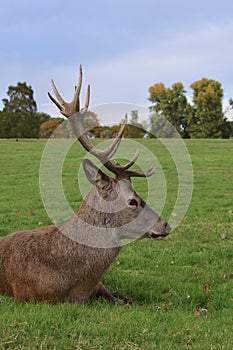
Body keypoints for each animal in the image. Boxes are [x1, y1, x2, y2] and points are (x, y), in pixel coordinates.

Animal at [0, 65, 171, 304]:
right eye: (132, 201)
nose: (165, 225)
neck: (78, 286)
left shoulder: (101, 288)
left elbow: (126, 300)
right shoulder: (30, 297)